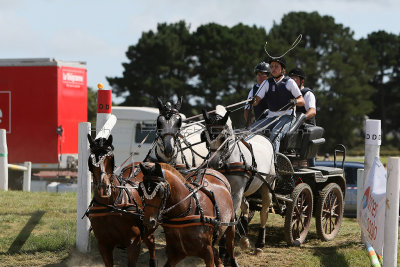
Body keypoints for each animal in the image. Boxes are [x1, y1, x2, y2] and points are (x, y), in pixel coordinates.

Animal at [86, 136, 157, 267]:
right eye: (91, 159)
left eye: (110, 158)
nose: (104, 187)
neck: (111, 207)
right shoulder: (103, 244)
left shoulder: (134, 243)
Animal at [202, 105, 276, 251]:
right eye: (205, 138)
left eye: (223, 137)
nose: (213, 164)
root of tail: (265, 138)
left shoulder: (236, 194)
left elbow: (230, 219)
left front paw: (223, 248)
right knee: (246, 206)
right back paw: (244, 234)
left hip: (267, 184)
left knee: (264, 211)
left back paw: (260, 244)